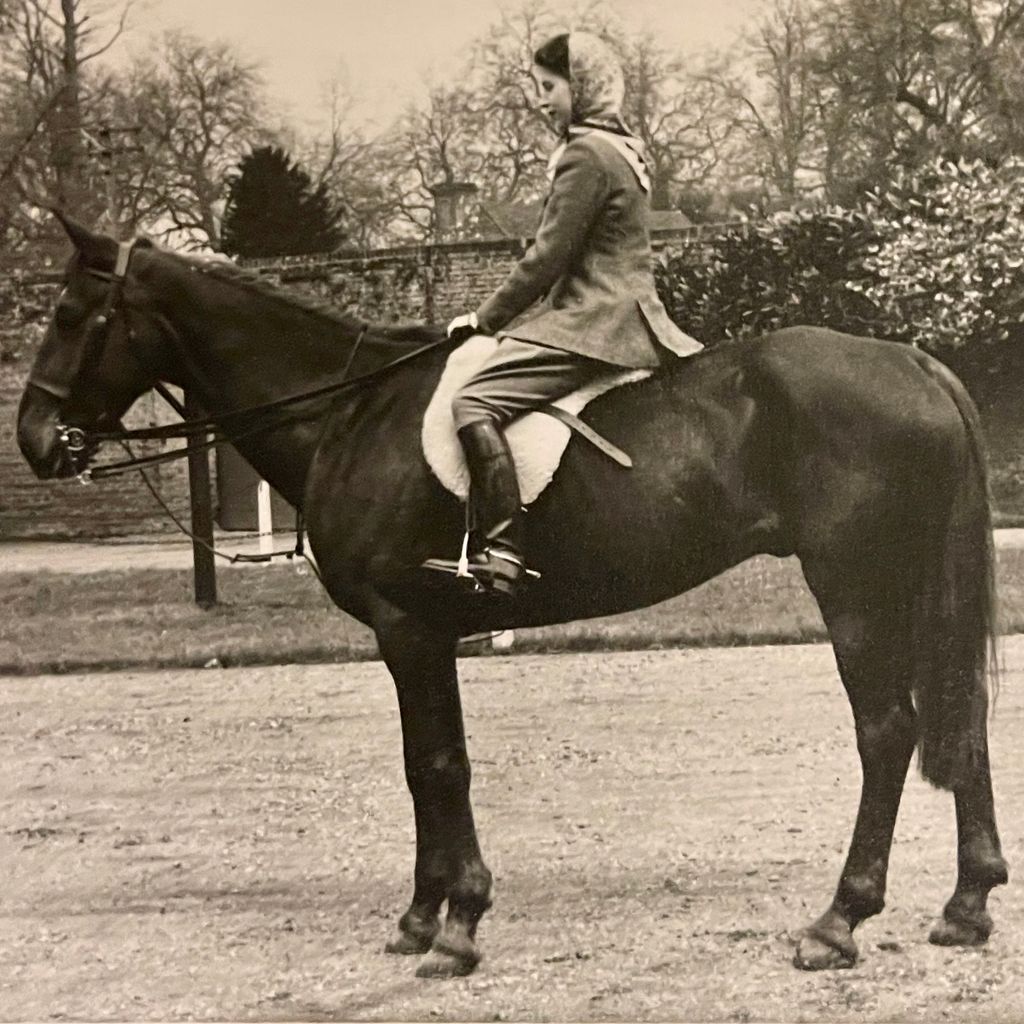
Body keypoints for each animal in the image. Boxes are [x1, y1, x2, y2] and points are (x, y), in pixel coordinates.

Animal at [16, 218, 1007, 974]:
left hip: (857, 588)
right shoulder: (422, 635)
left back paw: (840, 920)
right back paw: (966, 904)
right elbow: (424, 765)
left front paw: (456, 925)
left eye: (69, 314)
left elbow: (436, 765)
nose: (35, 438)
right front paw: (423, 916)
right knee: (960, 719)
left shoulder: (409, 629)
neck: (347, 412)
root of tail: (913, 362)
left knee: (888, 731)